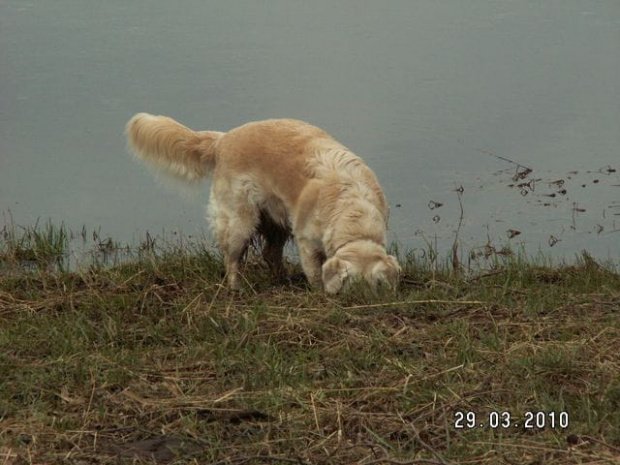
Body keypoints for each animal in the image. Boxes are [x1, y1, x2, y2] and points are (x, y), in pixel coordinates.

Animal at [124, 113, 402, 292]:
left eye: (376, 287)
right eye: (351, 285)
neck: (353, 208)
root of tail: (223, 139)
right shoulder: (306, 241)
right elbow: (315, 273)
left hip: (276, 220)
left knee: (270, 253)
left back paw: (283, 279)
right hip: (241, 220)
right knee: (232, 259)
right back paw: (236, 289)